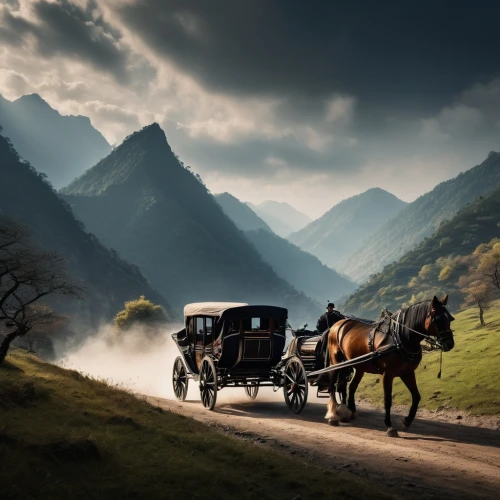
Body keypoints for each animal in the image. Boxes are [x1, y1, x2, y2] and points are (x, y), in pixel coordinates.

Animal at [326, 294, 456, 436]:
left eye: (449, 318)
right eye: (437, 319)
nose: (450, 343)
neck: (401, 337)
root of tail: (337, 324)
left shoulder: (407, 373)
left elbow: (416, 396)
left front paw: (407, 421)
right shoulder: (387, 374)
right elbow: (388, 400)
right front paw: (389, 426)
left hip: (359, 365)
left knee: (350, 386)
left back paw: (349, 412)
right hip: (336, 362)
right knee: (332, 385)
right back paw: (333, 415)